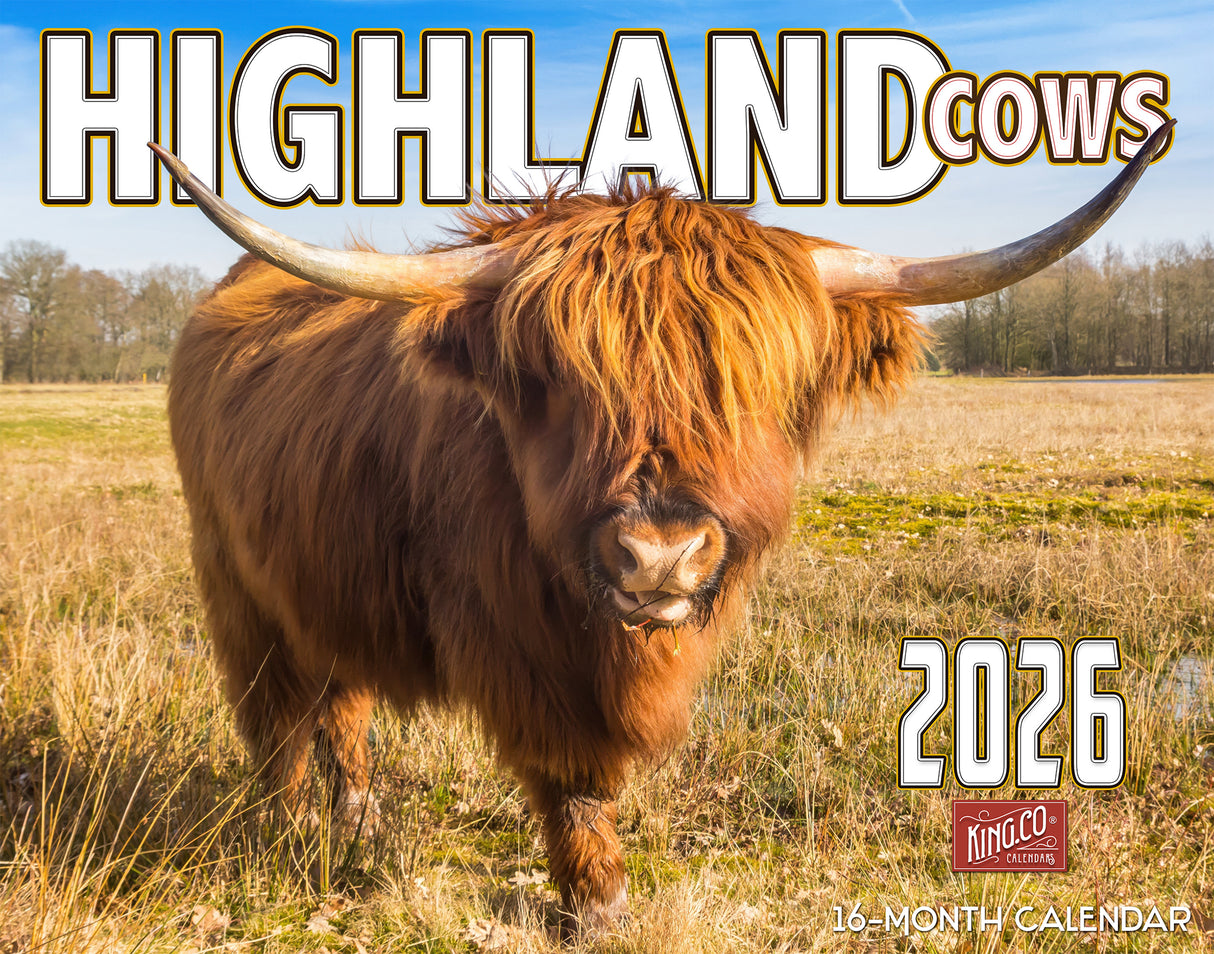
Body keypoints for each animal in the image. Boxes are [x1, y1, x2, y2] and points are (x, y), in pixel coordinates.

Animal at [151, 121, 1170, 934]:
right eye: (558, 381)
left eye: (754, 385)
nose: (659, 555)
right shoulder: (523, 652)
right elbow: (573, 778)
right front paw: (594, 906)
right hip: (233, 585)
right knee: (277, 717)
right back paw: (288, 833)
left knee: (342, 703)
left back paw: (358, 823)